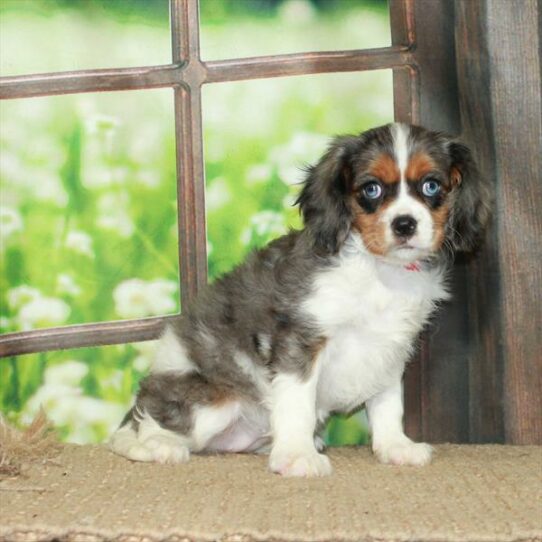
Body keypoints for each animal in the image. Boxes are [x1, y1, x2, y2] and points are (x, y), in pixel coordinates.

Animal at [110, 122, 492, 476]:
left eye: (431, 186)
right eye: (371, 189)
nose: (404, 224)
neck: (378, 271)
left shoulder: (391, 348)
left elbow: (387, 403)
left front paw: (394, 446)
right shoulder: (300, 341)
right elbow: (298, 403)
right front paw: (296, 455)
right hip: (211, 400)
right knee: (144, 426)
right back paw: (156, 446)